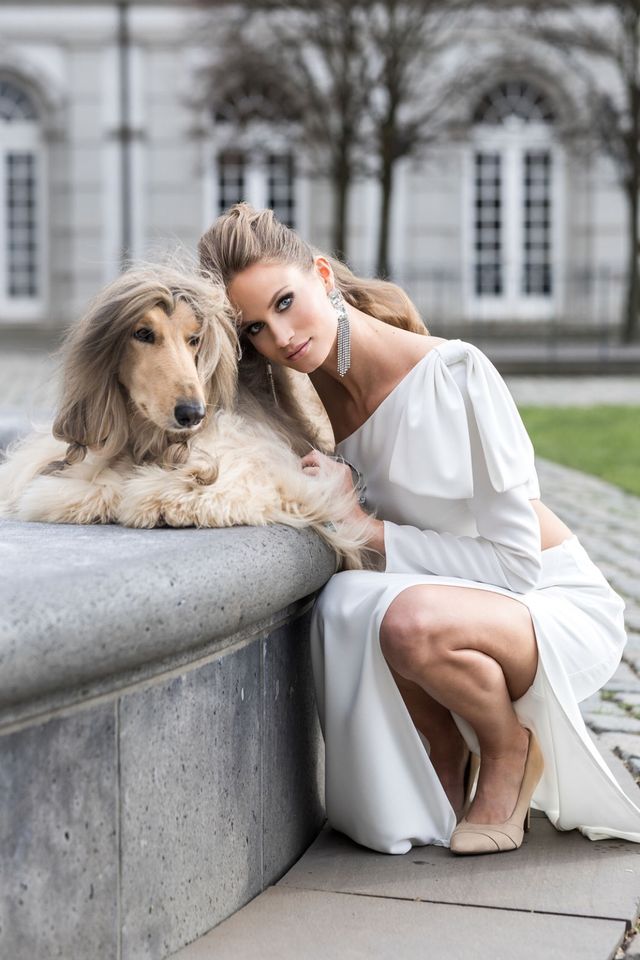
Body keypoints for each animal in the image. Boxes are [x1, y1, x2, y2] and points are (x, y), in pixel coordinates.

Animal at [0, 262, 376, 568]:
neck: (148, 438)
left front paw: (159, 499)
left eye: (195, 338)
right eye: (143, 333)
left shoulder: (275, 469)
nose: (192, 413)